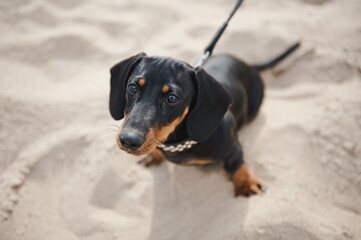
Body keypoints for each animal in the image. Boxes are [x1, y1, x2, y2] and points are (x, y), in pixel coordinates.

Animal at [109, 42, 298, 197]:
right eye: (133, 87)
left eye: (172, 98)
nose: (128, 141)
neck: (177, 142)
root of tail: (250, 66)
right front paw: (154, 155)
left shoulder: (234, 147)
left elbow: (236, 164)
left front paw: (246, 183)